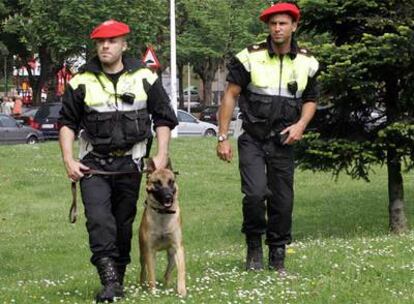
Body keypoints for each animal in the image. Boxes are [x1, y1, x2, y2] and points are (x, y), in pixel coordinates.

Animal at [138, 158, 187, 296]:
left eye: (171, 182)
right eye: (157, 183)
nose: (168, 197)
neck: (163, 215)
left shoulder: (178, 248)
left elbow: (181, 271)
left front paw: (182, 290)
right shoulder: (150, 251)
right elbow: (151, 275)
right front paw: (152, 291)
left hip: (171, 257)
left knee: (167, 274)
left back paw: (168, 286)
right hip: (143, 254)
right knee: (143, 271)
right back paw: (143, 285)